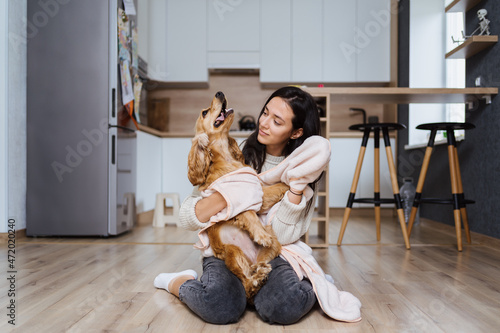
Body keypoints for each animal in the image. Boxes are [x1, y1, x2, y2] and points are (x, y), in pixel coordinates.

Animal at [188, 90, 290, 298]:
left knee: (256, 270)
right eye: (204, 112)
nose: (219, 92)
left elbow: (275, 187)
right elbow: (250, 214)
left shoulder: (257, 191)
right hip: (233, 253)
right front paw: (261, 235)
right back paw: (257, 279)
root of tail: (252, 260)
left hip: (274, 246)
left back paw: (260, 271)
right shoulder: (236, 198)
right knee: (246, 286)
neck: (226, 159)